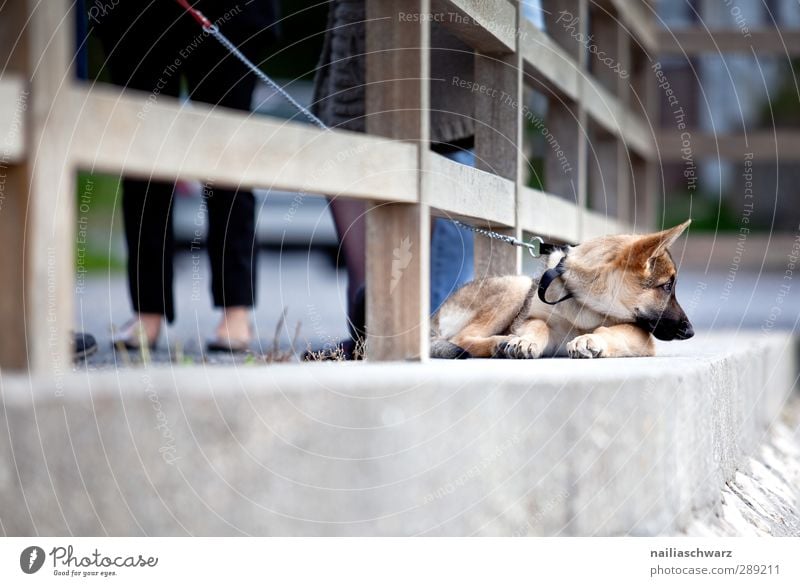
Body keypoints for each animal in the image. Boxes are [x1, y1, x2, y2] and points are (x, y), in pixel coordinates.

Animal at [432, 218, 692, 356]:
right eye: (667, 286)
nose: (690, 332)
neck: (586, 305)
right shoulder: (534, 320)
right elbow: (538, 325)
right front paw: (524, 340)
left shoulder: (642, 338)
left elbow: (608, 330)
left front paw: (589, 339)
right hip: (517, 286)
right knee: (461, 338)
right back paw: (499, 343)